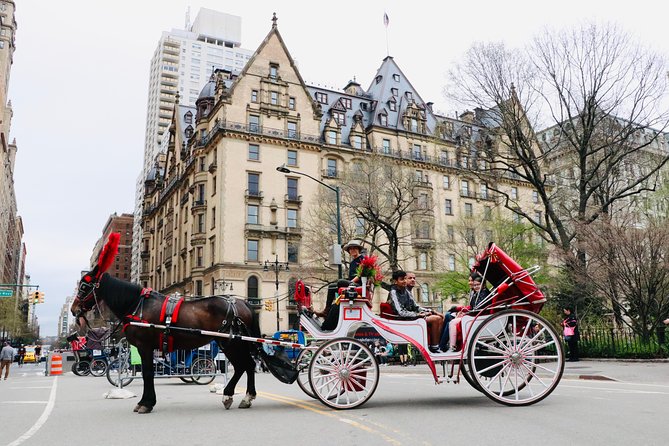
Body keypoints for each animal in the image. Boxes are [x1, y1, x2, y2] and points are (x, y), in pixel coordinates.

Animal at [71, 235, 260, 412]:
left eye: (84, 286)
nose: (74, 309)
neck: (137, 305)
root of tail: (242, 303)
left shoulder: (144, 346)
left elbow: (147, 373)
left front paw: (146, 403)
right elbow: (148, 373)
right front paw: (147, 401)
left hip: (231, 343)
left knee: (243, 365)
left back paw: (231, 395)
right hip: (232, 343)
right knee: (247, 365)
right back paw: (244, 397)